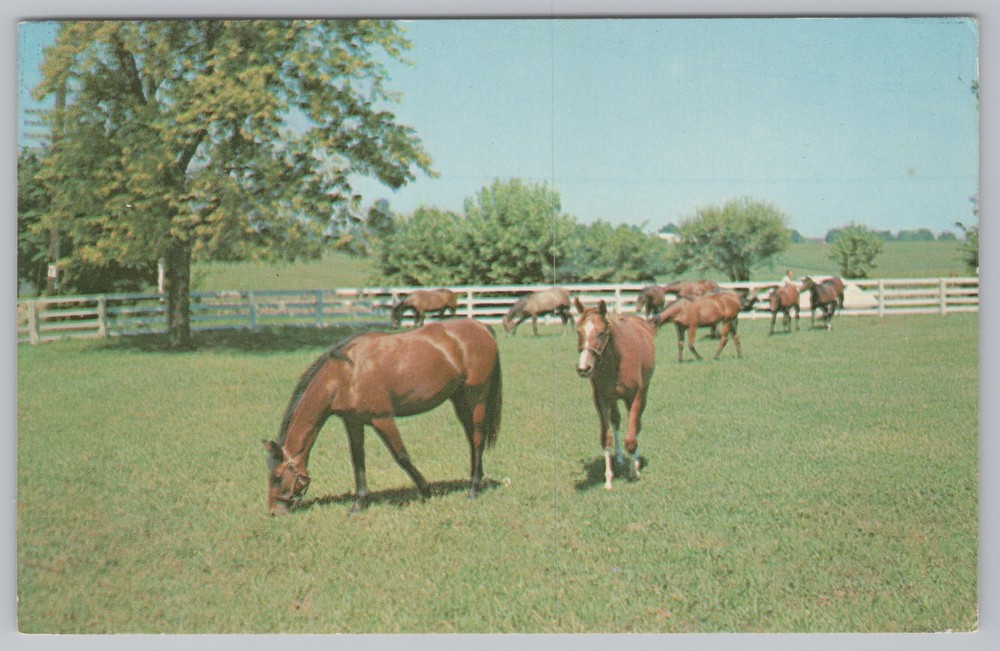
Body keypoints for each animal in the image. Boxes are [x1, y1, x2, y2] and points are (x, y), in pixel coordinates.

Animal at [263, 319, 502, 516]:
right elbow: (358, 460)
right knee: (472, 439)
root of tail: (482, 327)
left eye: (277, 477)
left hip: (476, 398)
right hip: (460, 400)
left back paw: (473, 489)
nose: (274, 512)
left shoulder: (382, 419)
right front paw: (358, 504)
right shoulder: (354, 422)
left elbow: (402, 456)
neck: (345, 374)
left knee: (478, 439)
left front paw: (426, 491)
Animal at [574, 297, 656, 490]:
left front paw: (634, 472)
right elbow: (606, 437)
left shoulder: (635, 397)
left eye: (601, 333)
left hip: (642, 393)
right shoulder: (601, 399)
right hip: (613, 399)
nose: (583, 368)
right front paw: (608, 478)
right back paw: (619, 457)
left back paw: (635, 462)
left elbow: (631, 438)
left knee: (636, 424)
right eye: (578, 332)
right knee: (616, 420)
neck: (617, 360)